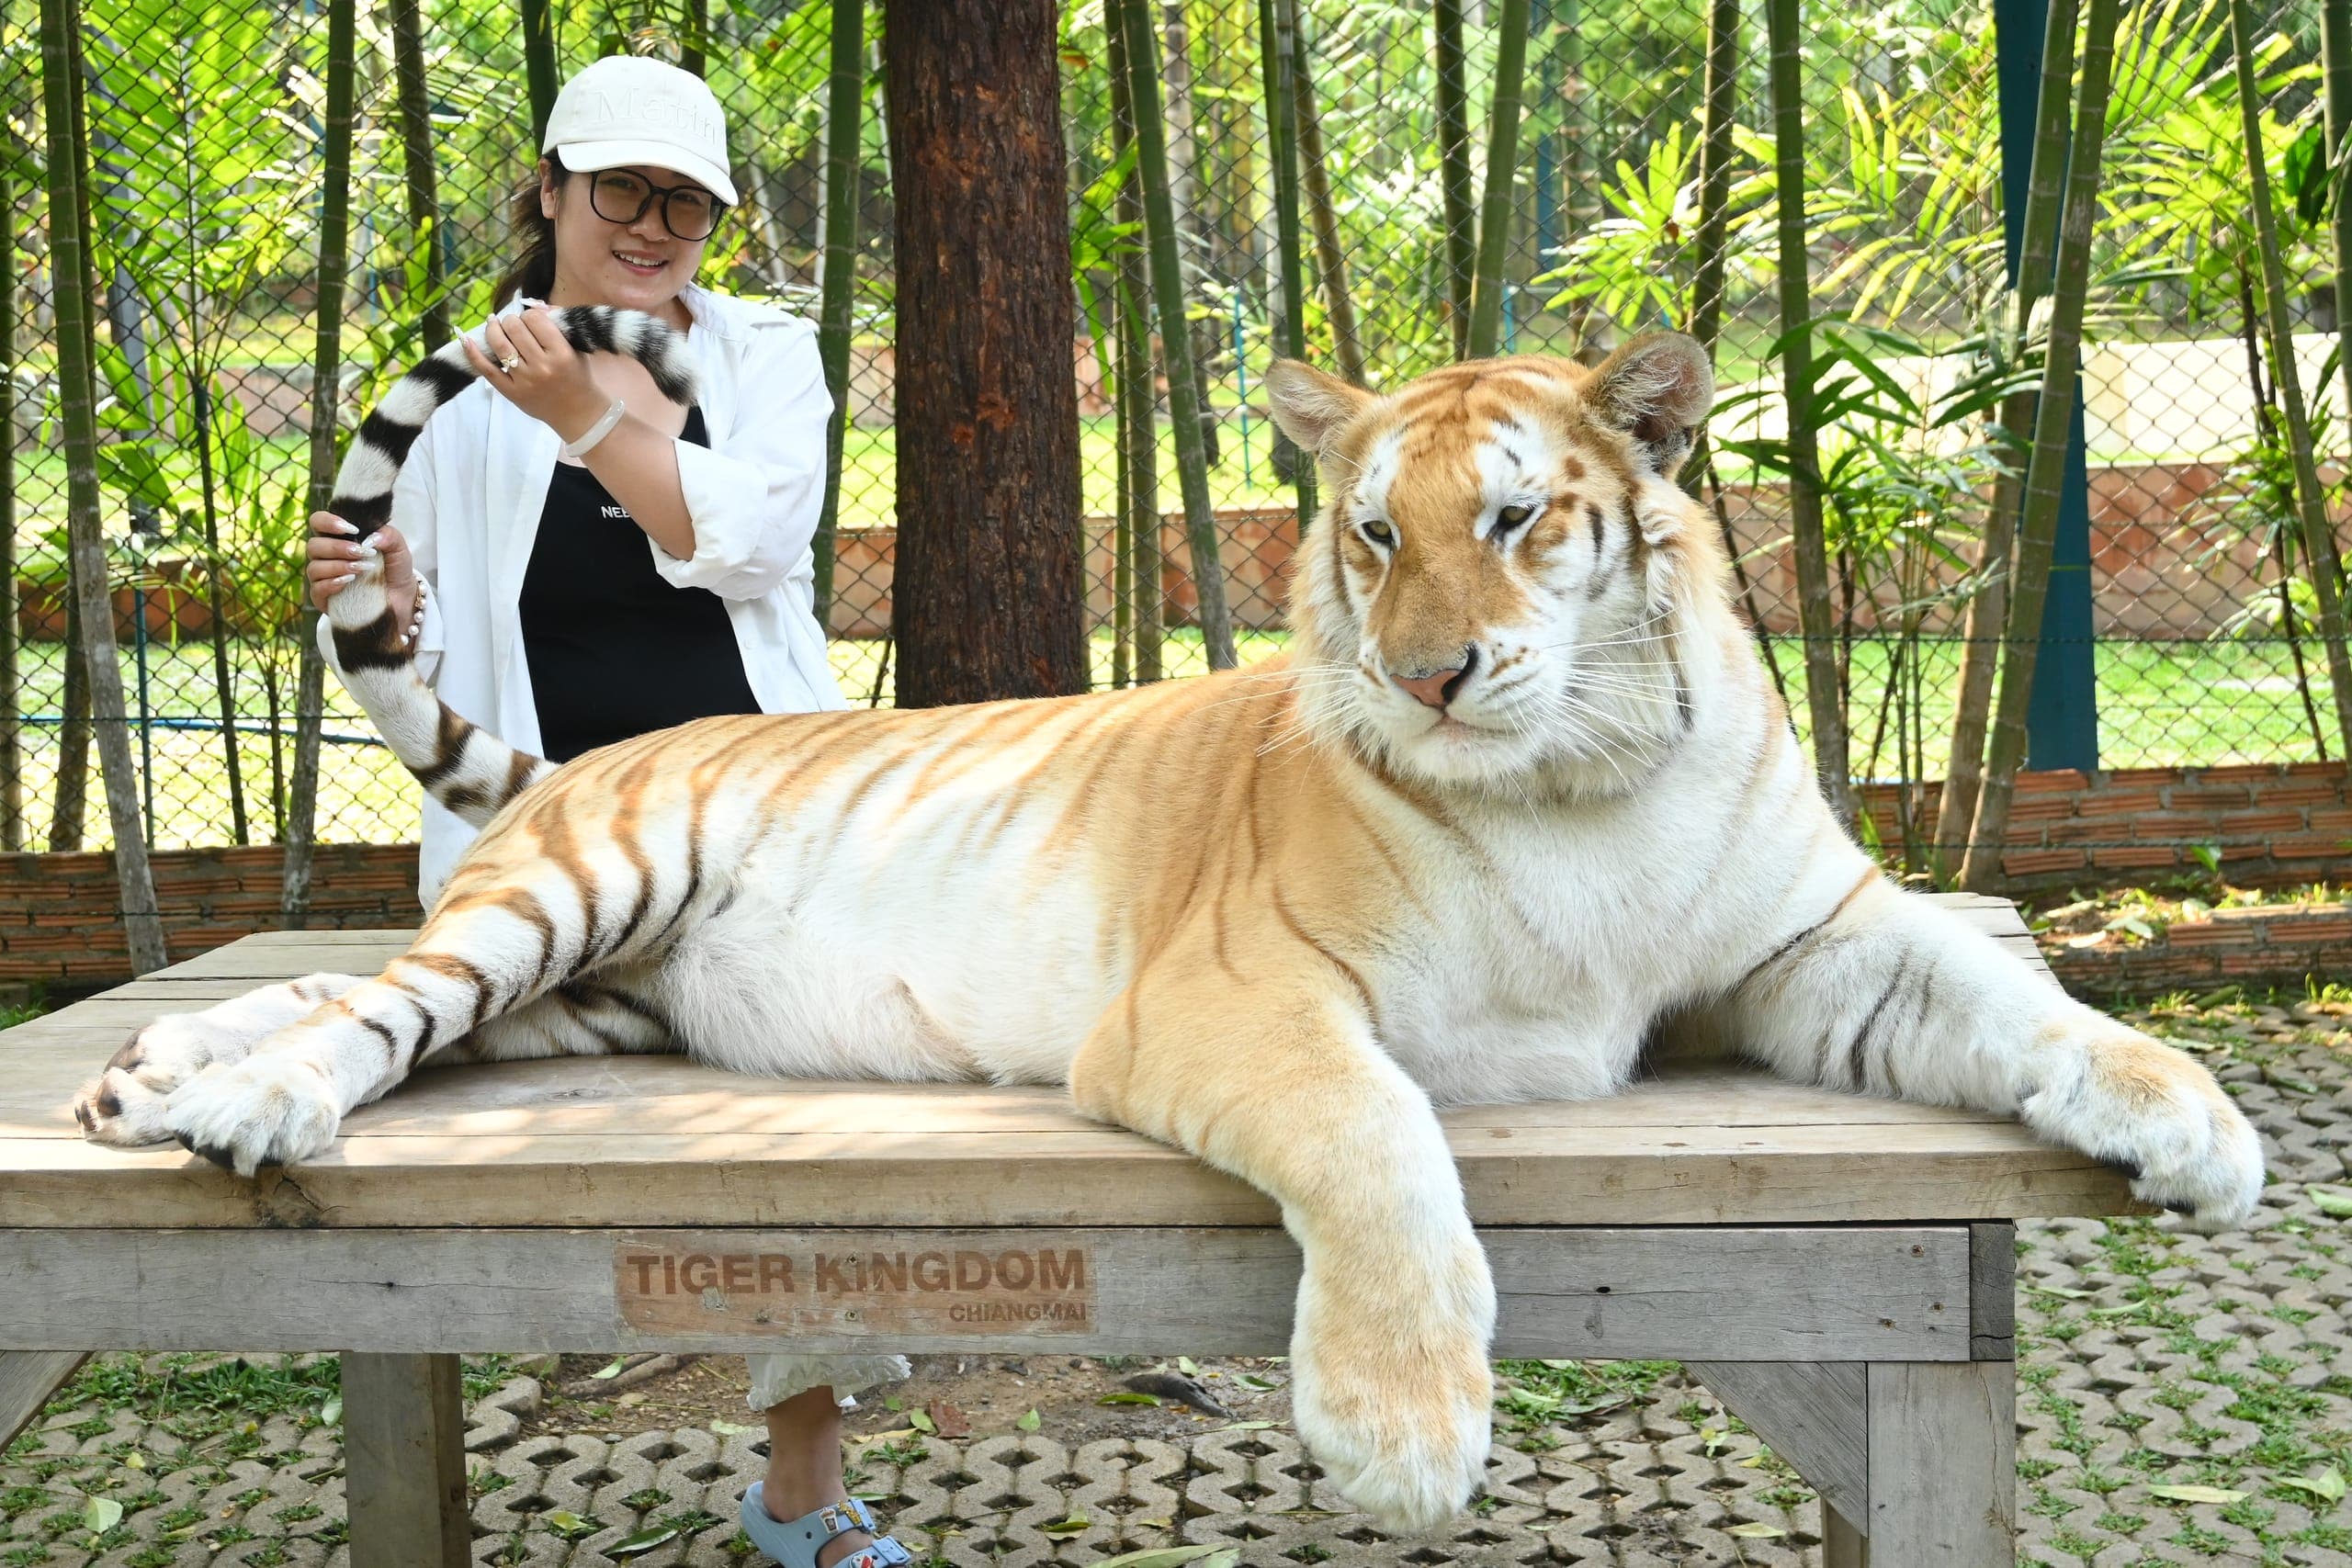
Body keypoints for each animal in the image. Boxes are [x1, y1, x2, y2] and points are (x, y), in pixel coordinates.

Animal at [75, 312, 2265, 1532]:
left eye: (1515, 518)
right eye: (1371, 533)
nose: (1435, 673)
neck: (1577, 779)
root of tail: (570, 759)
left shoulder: (1812, 946)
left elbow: (2013, 994)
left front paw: (2198, 1124)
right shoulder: (1245, 998)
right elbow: (1383, 1142)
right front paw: (1401, 1435)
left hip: (593, 1009)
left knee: (373, 993)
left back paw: (148, 1077)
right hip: (578, 892)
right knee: (375, 1005)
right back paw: (240, 1103)